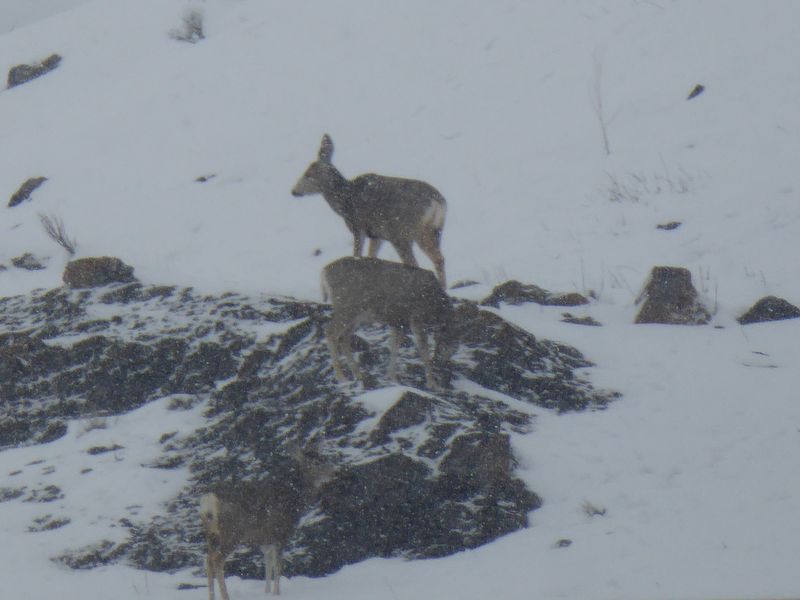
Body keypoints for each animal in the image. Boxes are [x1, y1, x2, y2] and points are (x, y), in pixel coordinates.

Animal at [199, 445, 335, 599]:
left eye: (324, 457)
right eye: (316, 462)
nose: (335, 471)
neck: (295, 502)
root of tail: (208, 502)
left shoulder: (266, 541)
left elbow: (268, 565)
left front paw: (267, 592)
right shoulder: (280, 535)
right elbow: (278, 566)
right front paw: (277, 593)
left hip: (211, 536)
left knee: (208, 560)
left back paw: (211, 596)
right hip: (232, 533)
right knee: (217, 560)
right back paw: (226, 596)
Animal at [292, 134, 448, 288]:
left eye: (308, 174)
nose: (294, 191)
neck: (345, 201)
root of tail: (437, 202)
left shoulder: (358, 226)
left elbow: (357, 254)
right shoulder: (376, 235)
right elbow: (371, 256)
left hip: (402, 234)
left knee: (415, 263)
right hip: (434, 230)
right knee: (439, 258)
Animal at [321, 256, 459, 391]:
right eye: (447, 342)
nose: (441, 362)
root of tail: (324, 271)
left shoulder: (398, 322)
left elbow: (394, 346)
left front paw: (392, 377)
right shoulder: (416, 319)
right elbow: (423, 351)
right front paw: (433, 383)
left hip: (357, 316)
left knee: (344, 338)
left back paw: (358, 374)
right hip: (347, 308)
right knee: (330, 332)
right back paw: (342, 377)